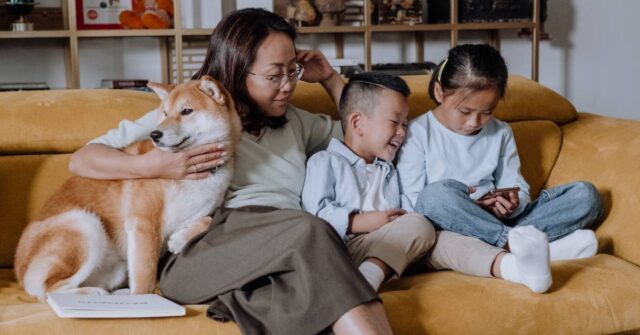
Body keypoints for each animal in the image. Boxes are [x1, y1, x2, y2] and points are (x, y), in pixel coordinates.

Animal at [12, 77, 242, 302]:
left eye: (186, 111)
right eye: (164, 113)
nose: (154, 134)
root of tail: (19, 272)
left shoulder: (198, 211)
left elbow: (208, 220)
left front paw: (179, 239)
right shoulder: (144, 225)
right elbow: (145, 280)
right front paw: (145, 302)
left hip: (119, 267)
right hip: (85, 223)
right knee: (50, 290)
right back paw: (96, 295)